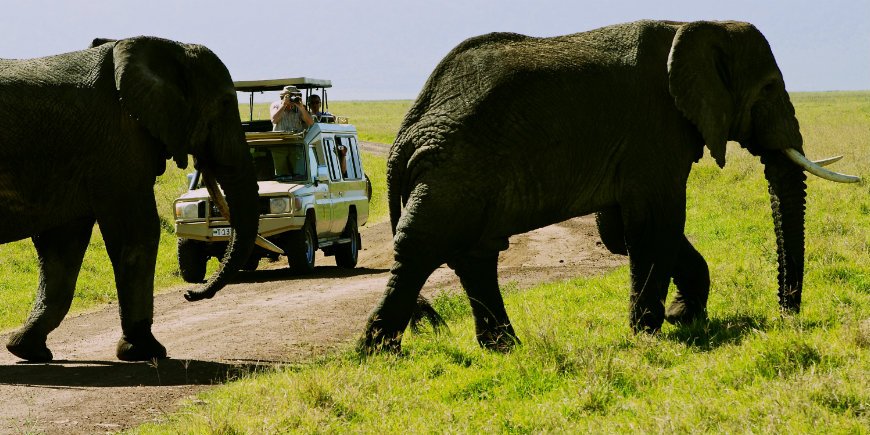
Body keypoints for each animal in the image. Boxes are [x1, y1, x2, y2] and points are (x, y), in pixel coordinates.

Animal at [0, 35, 258, 362]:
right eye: (225, 103)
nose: (189, 293)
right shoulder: (118, 143)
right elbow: (137, 233)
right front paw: (147, 351)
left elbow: (61, 249)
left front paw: (27, 349)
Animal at [362, 20, 864, 354]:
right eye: (768, 89)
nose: (787, 315)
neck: (694, 26)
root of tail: (405, 133)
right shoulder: (654, 128)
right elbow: (656, 223)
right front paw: (651, 332)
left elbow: (626, 230)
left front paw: (683, 318)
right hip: (452, 171)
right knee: (423, 250)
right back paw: (378, 354)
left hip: (459, 174)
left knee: (474, 255)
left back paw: (504, 349)